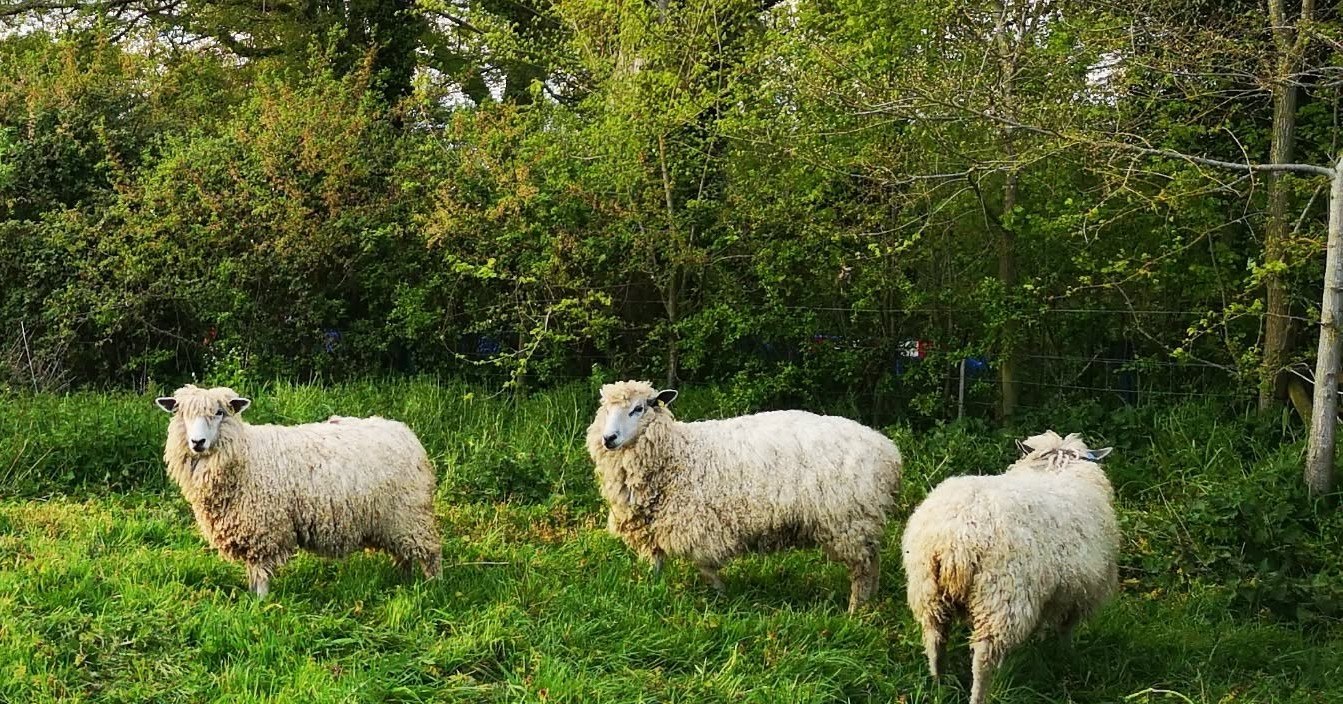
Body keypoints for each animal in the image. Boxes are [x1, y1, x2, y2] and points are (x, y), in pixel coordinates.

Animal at [155, 384, 442, 598]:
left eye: (219, 412)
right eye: (182, 414)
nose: (197, 442)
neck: (245, 455)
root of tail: (405, 433)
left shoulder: (264, 529)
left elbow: (260, 572)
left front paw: (261, 604)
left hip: (409, 513)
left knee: (430, 553)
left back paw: (433, 589)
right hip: (392, 520)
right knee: (404, 555)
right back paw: (403, 581)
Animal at [586, 380, 903, 613]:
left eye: (638, 408)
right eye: (606, 410)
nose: (608, 439)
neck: (679, 454)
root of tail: (888, 451)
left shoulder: (702, 525)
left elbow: (707, 568)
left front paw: (721, 597)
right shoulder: (654, 524)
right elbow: (656, 565)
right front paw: (652, 593)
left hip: (848, 520)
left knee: (862, 569)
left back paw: (854, 611)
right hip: (860, 521)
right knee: (874, 561)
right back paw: (870, 603)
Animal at [901, 430, 1117, 704]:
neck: (1057, 468)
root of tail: (956, 538)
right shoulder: (1082, 590)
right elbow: (1065, 628)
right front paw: (1065, 655)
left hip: (927, 590)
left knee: (935, 640)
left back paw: (939, 684)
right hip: (1001, 596)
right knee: (983, 658)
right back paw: (981, 693)